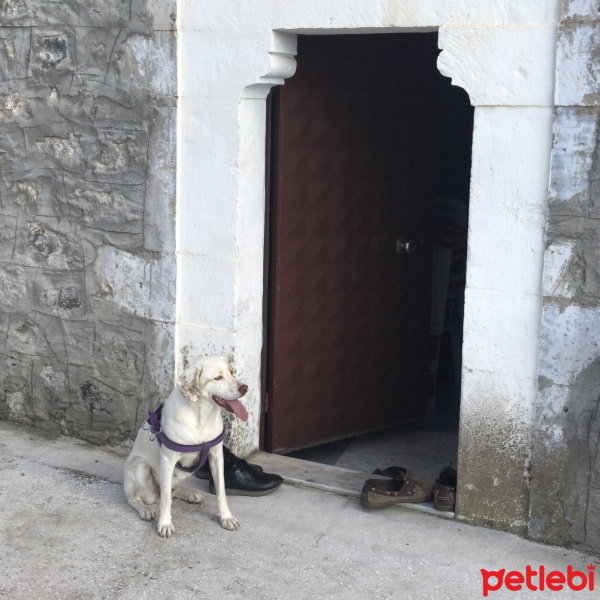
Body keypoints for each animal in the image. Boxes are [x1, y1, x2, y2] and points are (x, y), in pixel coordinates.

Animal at [123, 354, 248, 536]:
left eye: (232, 372)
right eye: (218, 377)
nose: (245, 388)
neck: (201, 416)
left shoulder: (216, 455)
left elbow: (221, 491)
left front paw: (226, 517)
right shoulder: (168, 459)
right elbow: (166, 500)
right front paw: (165, 524)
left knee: (172, 492)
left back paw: (190, 495)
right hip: (140, 466)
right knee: (137, 498)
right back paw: (145, 509)